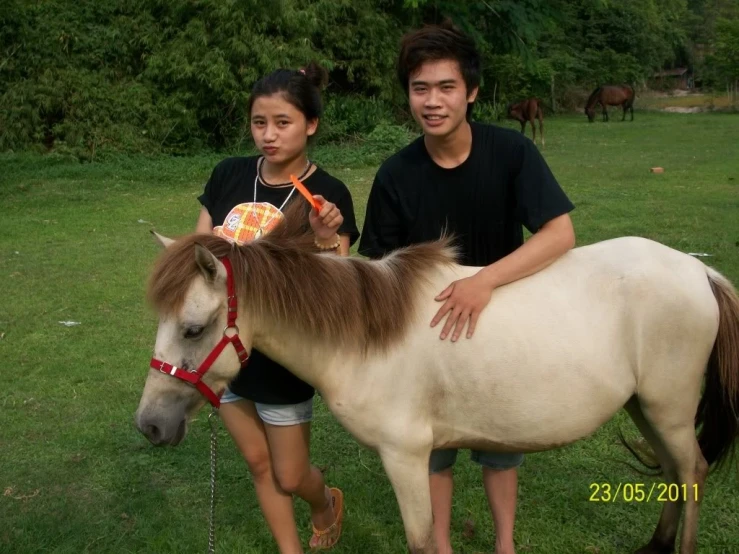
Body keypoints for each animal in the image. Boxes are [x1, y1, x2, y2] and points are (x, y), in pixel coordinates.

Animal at [134, 203, 739, 552]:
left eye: (193, 328)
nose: (149, 425)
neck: (365, 335)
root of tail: (699, 271)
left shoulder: (403, 456)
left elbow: (421, 539)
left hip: (668, 409)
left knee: (692, 472)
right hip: (645, 407)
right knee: (675, 474)